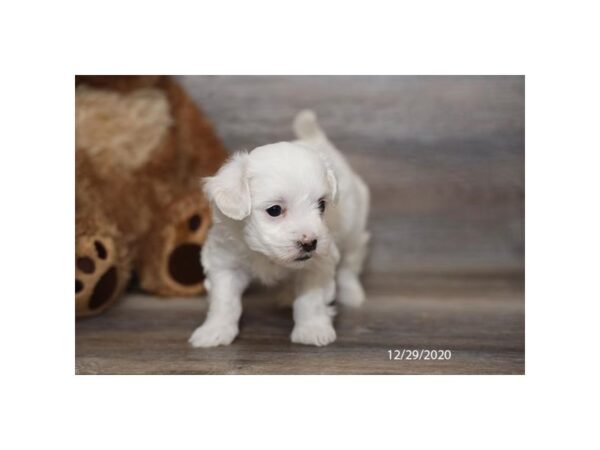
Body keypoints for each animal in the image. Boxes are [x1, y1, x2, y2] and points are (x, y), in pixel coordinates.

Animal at [189, 110, 370, 348]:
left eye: (322, 205)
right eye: (274, 210)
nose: (310, 243)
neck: (266, 254)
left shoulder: (319, 262)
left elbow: (310, 300)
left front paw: (312, 330)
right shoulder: (224, 261)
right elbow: (224, 300)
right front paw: (215, 331)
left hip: (353, 227)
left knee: (350, 262)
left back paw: (351, 293)